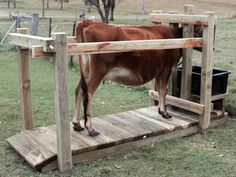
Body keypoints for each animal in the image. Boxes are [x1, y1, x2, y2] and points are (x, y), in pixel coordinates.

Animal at [72, 20, 203, 136]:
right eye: (200, 31)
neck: (175, 36)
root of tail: (88, 23)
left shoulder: (159, 70)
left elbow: (159, 91)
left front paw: (160, 110)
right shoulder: (166, 68)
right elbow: (163, 91)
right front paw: (165, 113)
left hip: (86, 71)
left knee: (79, 90)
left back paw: (77, 124)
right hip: (98, 71)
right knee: (88, 94)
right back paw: (90, 128)